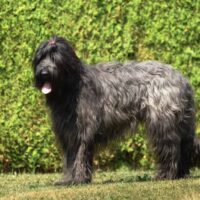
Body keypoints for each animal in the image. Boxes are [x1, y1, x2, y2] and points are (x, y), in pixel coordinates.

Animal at [33, 36, 200, 185]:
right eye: (41, 58)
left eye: (56, 58)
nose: (44, 73)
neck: (71, 86)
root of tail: (183, 80)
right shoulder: (68, 134)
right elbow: (70, 159)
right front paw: (68, 180)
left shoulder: (82, 131)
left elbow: (79, 156)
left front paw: (78, 179)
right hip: (181, 123)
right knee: (185, 146)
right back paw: (180, 173)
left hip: (162, 122)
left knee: (170, 148)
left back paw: (165, 175)